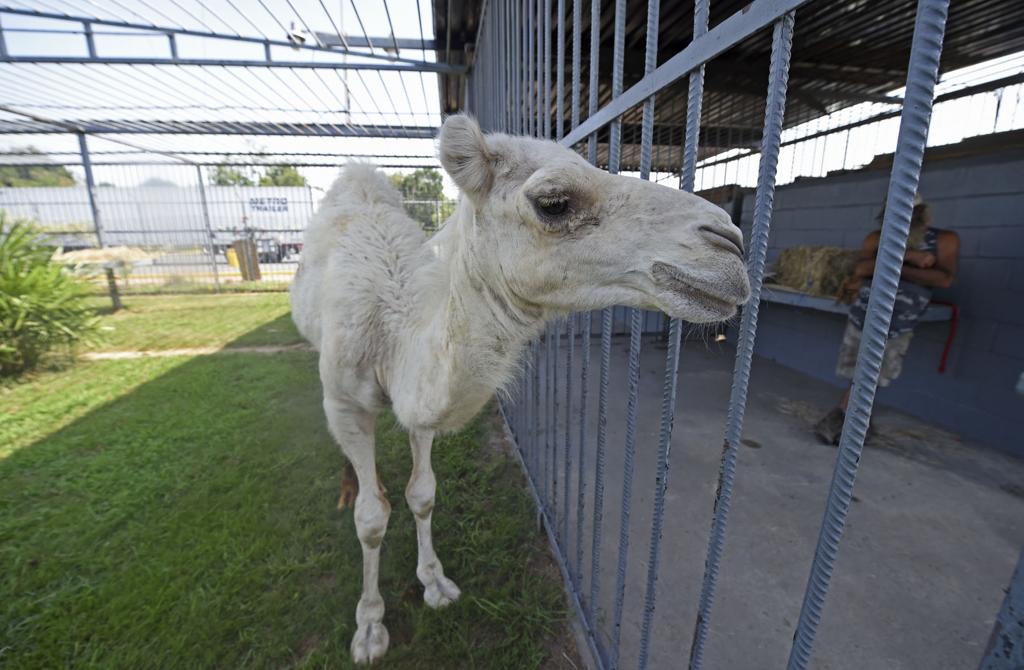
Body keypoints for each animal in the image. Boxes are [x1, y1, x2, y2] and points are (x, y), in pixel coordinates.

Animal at [290, 112, 753, 663]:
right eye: (553, 202)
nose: (730, 244)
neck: (392, 333)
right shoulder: (345, 402)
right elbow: (370, 519)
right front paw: (368, 628)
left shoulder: (421, 408)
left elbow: (422, 493)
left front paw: (434, 582)